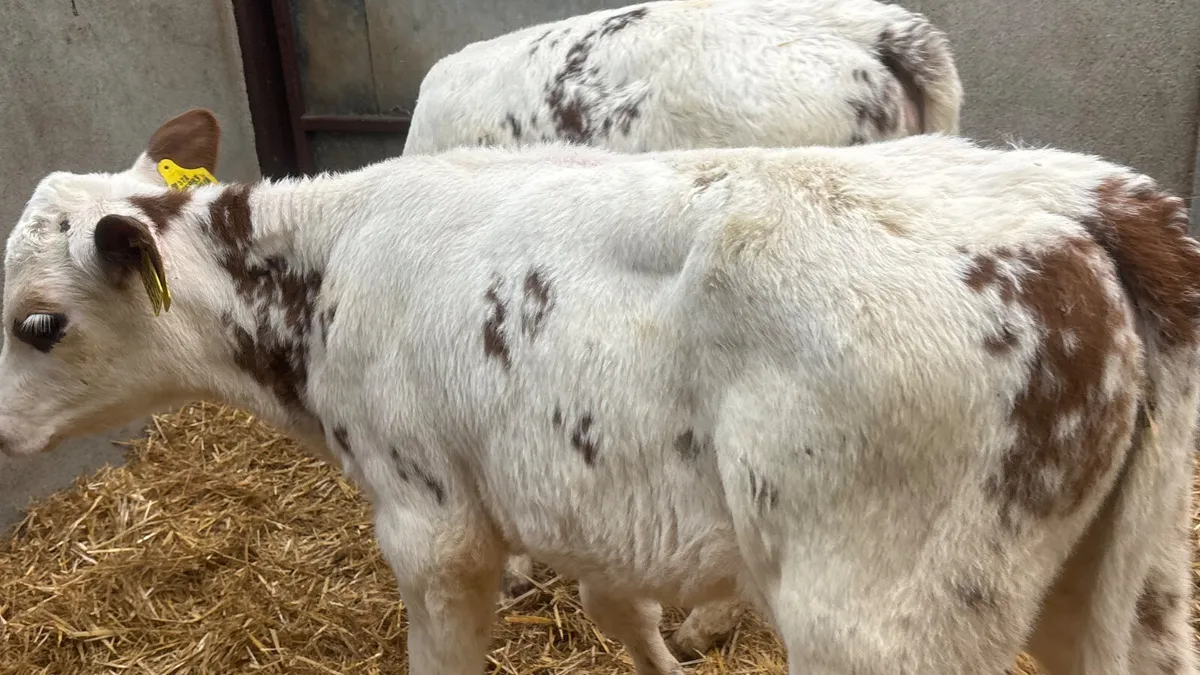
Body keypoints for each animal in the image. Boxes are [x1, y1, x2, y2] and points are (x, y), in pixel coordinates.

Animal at [2, 109, 1197, 675]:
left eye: (38, 323)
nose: (3, 430)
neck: (330, 267)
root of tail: (1083, 204)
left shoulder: (432, 524)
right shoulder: (589, 501)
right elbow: (616, 609)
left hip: (884, 617)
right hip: (1125, 586)